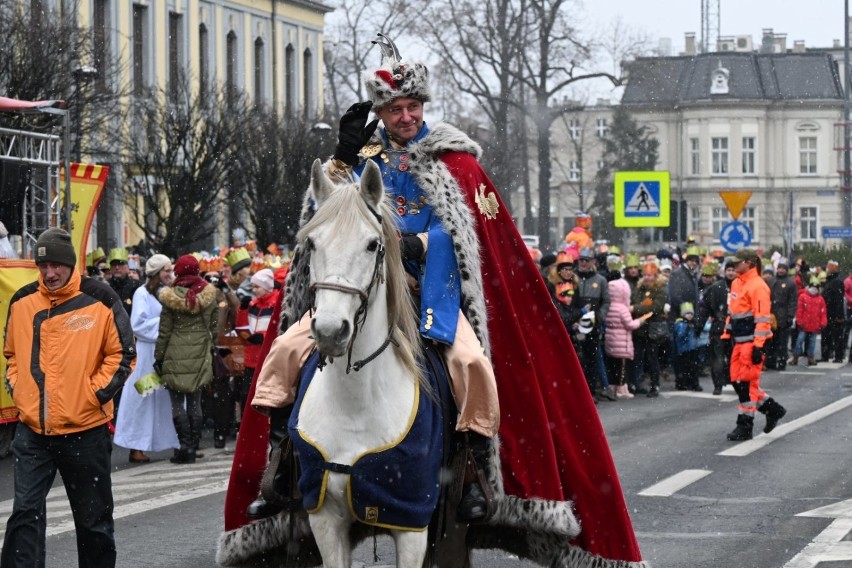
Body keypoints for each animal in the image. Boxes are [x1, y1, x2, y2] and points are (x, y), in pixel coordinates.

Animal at [296, 159, 436, 568]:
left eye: (373, 244)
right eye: (312, 243)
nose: (330, 330)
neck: (355, 403)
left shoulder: (411, 521)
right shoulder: (324, 518)